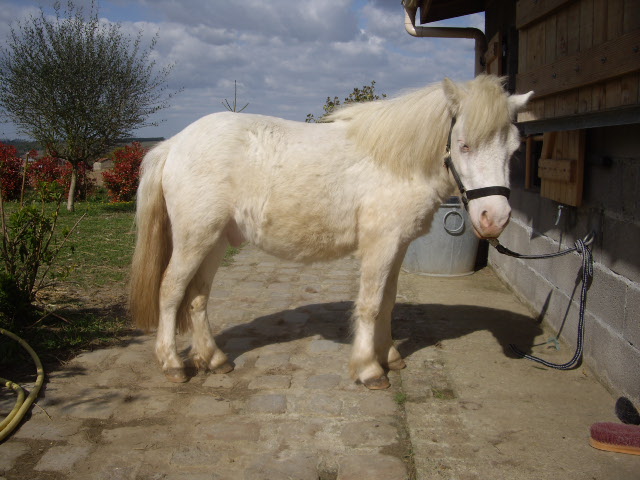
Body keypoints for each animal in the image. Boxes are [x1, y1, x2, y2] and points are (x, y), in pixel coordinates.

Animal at [129, 76, 528, 390]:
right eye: (464, 144)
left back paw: (213, 359)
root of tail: (174, 144)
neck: (396, 162)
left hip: (215, 241)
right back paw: (172, 364)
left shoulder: (397, 247)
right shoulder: (380, 246)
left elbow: (387, 303)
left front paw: (390, 356)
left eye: (514, 149)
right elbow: (370, 305)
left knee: (197, 297)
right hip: (194, 239)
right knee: (170, 291)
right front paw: (369, 369)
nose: (495, 218)